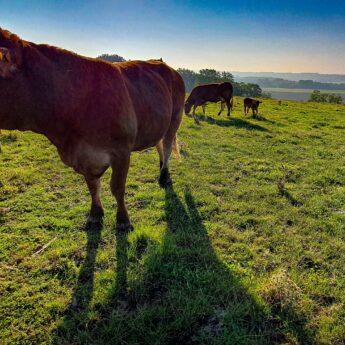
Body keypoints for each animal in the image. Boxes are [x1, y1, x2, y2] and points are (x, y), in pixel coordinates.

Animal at [0, 28, 185, 230]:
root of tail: (164, 64)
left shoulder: (122, 150)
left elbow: (117, 188)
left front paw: (123, 220)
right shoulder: (84, 156)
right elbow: (92, 186)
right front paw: (95, 215)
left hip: (175, 118)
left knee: (167, 147)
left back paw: (164, 176)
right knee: (159, 144)